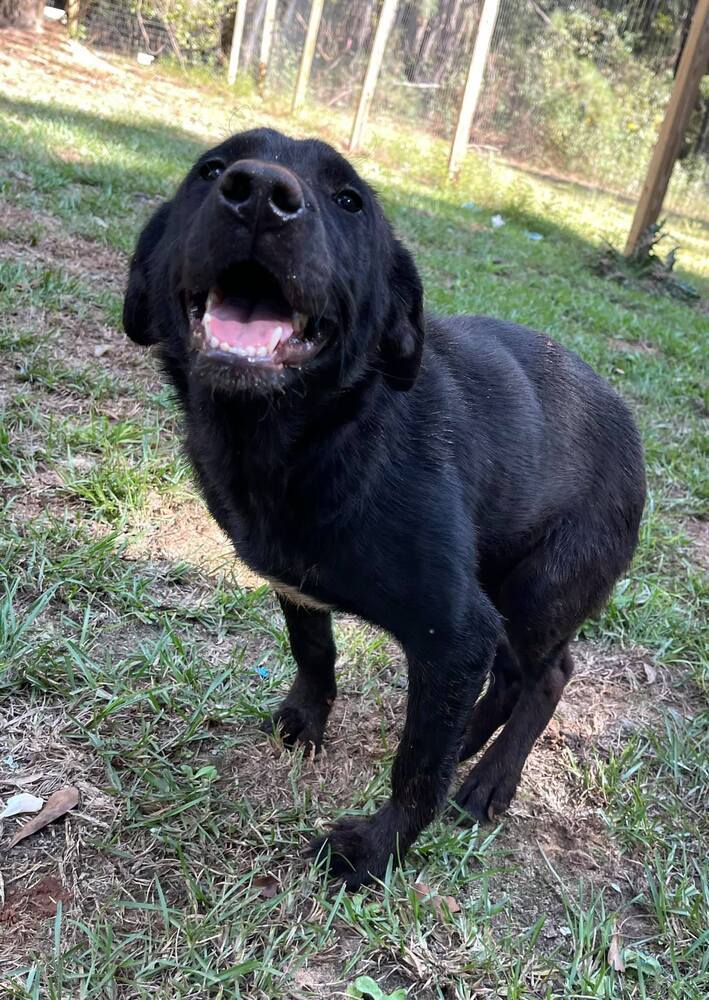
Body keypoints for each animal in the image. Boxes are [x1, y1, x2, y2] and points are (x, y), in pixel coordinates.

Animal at [124, 129, 644, 888]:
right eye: (210, 169)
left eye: (350, 201)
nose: (259, 195)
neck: (312, 439)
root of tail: (629, 422)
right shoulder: (302, 588)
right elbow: (314, 651)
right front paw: (306, 720)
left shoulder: (452, 631)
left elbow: (417, 768)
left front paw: (377, 849)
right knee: (510, 675)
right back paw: (473, 742)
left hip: (541, 591)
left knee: (547, 674)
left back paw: (490, 779)